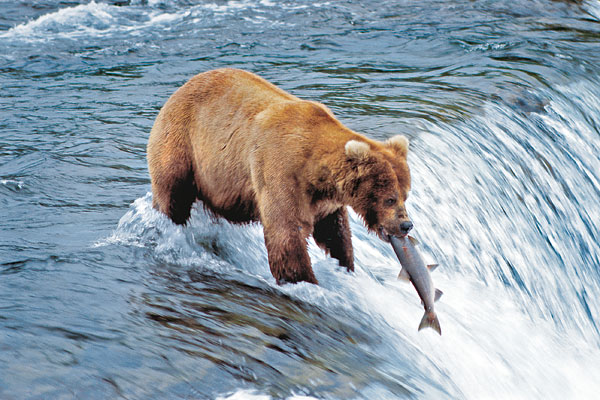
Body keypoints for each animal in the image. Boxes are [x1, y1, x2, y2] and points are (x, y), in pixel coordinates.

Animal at [149, 68, 412, 284]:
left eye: (405, 196)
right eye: (389, 198)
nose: (406, 224)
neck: (317, 173)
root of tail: (180, 89)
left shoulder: (325, 201)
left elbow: (335, 232)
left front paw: (345, 264)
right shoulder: (282, 171)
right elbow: (287, 233)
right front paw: (306, 281)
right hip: (182, 146)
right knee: (173, 197)